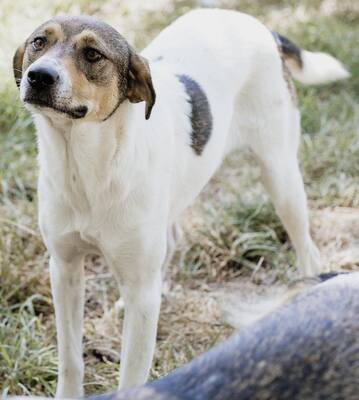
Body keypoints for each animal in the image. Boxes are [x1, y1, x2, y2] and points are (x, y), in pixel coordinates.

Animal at [13, 8, 348, 396]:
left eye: (93, 54)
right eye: (39, 42)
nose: (39, 76)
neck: (86, 169)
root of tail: (258, 25)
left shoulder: (139, 293)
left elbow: (131, 376)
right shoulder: (64, 269)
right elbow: (71, 360)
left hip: (280, 177)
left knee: (308, 250)